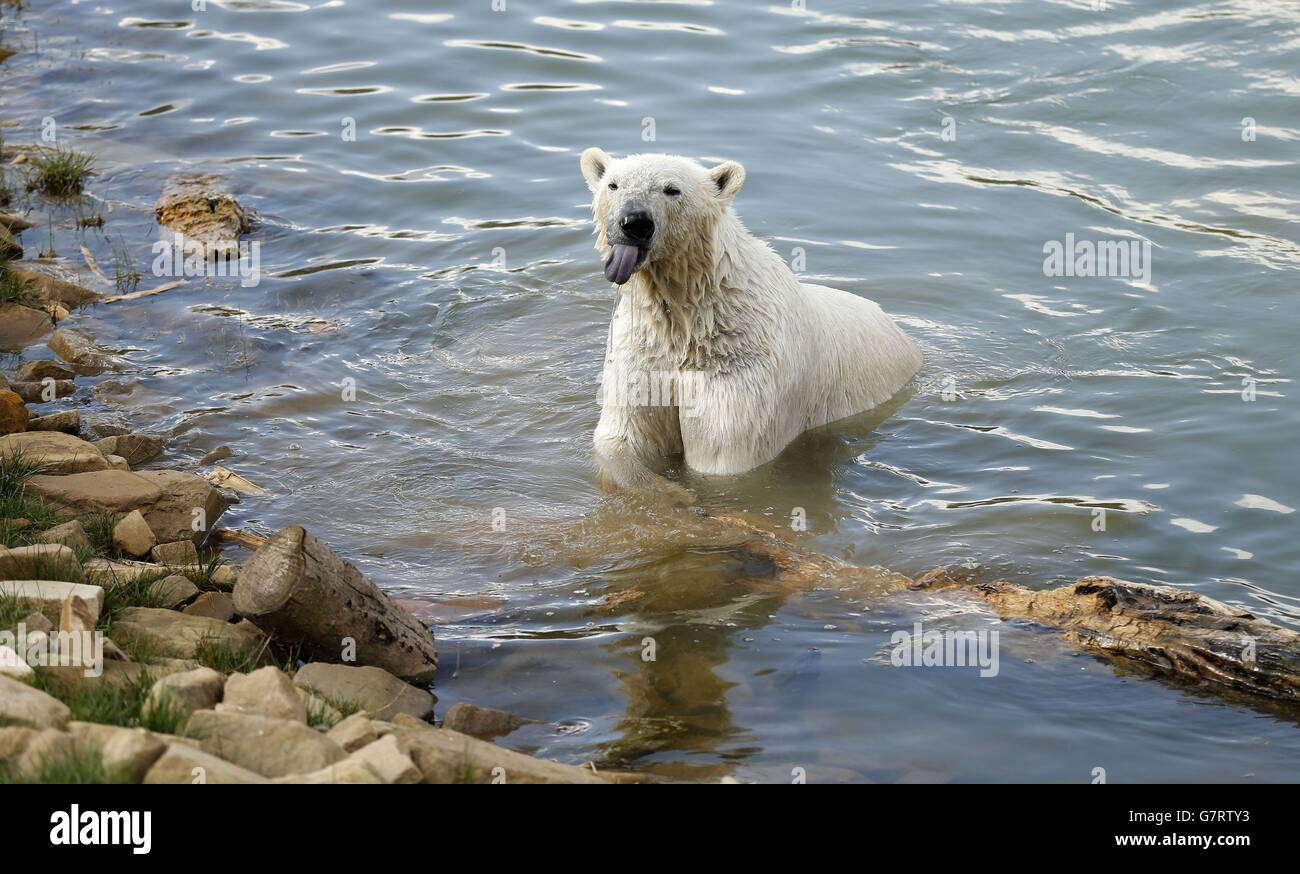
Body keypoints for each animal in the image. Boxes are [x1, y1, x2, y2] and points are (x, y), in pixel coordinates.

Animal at [581, 148, 922, 492]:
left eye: (671, 189)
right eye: (613, 185)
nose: (634, 222)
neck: (693, 312)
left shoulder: (740, 365)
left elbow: (722, 454)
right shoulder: (644, 351)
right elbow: (624, 436)